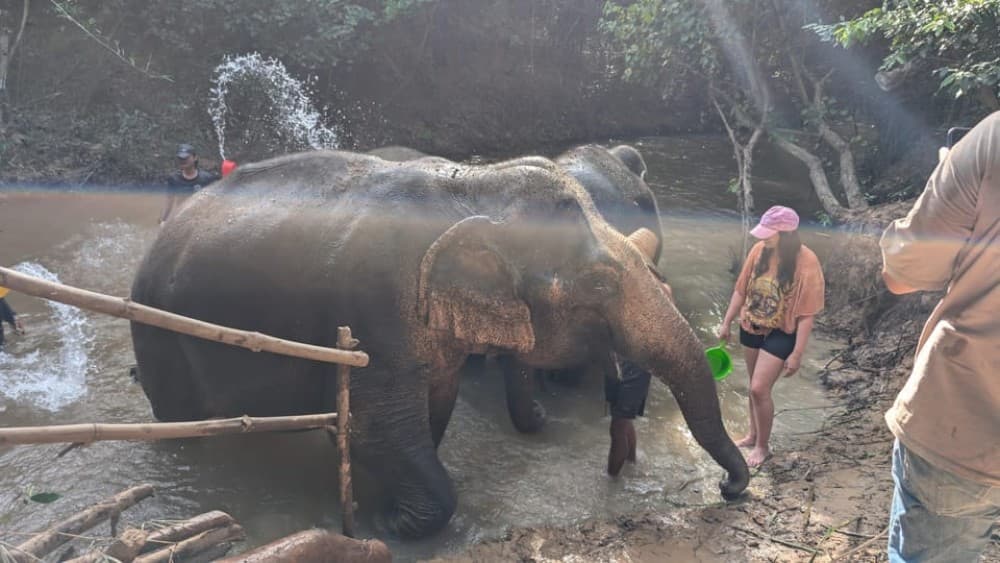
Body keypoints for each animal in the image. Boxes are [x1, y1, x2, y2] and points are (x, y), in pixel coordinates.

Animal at [130, 149, 748, 539]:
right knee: (184, 426)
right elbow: (373, 426)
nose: (729, 487)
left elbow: (433, 406)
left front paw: (386, 511)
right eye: (598, 285)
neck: (474, 185)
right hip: (159, 335)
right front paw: (385, 527)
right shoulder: (373, 301)